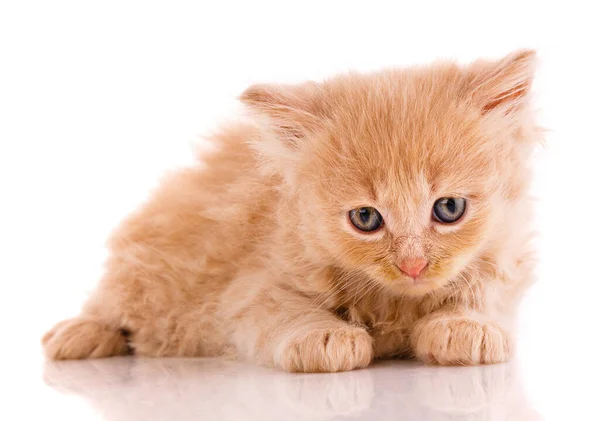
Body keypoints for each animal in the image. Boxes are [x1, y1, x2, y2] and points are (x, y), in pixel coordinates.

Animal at [42, 50, 540, 370]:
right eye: (366, 219)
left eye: (449, 208)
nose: (413, 265)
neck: (395, 302)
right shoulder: (250, 288)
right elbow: (286, 310)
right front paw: (325, 337)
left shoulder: (504, 264)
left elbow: (479, 295)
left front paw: (464, 326)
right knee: (110, 304)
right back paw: (78, 335)